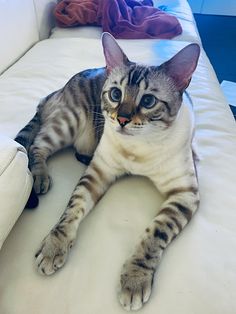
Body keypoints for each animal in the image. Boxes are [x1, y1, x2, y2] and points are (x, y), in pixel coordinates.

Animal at [14, 33, 200, 310]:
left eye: (148, 101)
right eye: (115, 94)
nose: (121, 119)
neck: (138, 150)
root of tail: (54, 93)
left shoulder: (185, 193)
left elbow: (155, 232)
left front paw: (134, 278)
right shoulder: (98, 172)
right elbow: (71, 210)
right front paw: (54, 247)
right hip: (68, 123)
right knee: (37, 145)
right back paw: (40, 177)